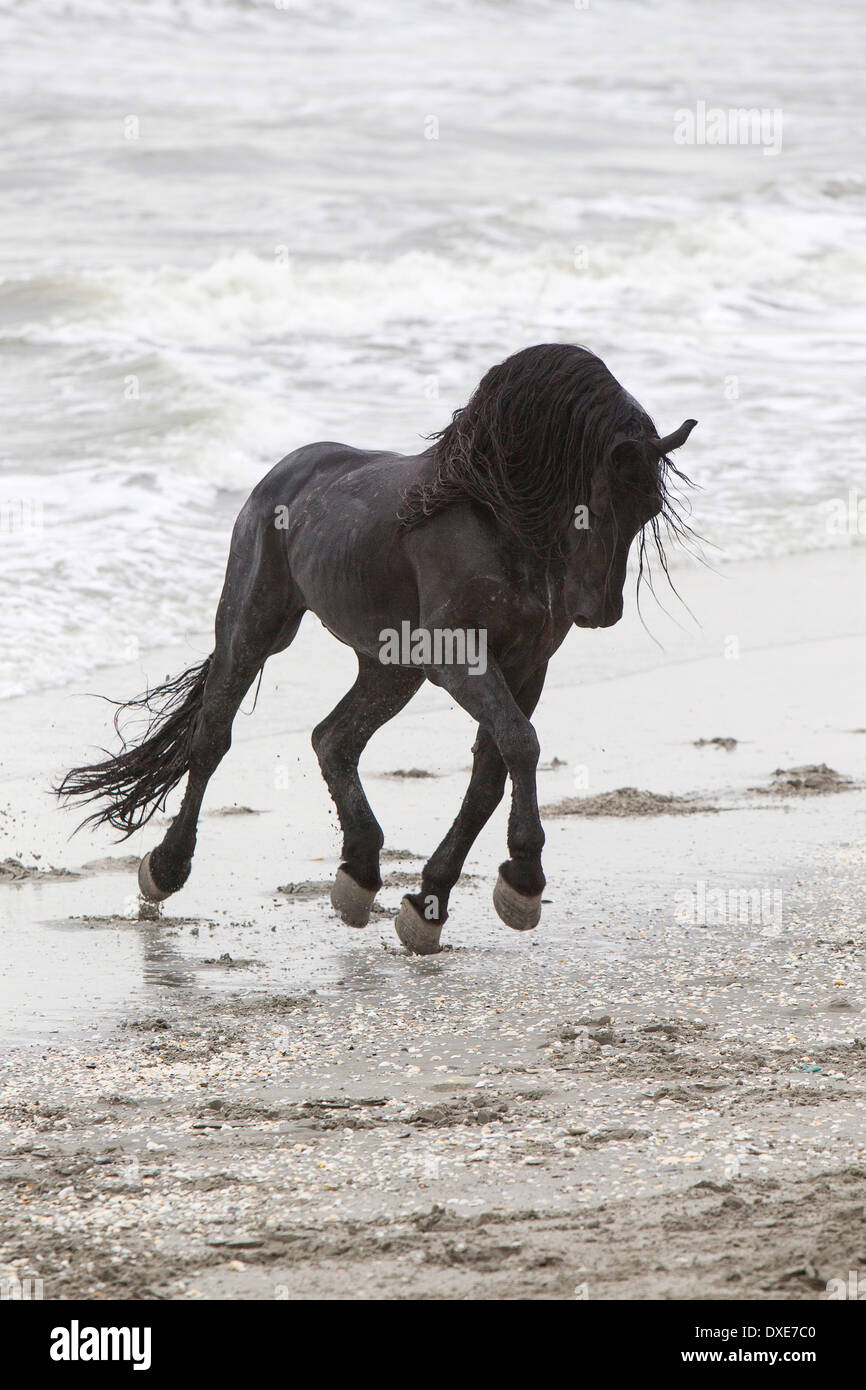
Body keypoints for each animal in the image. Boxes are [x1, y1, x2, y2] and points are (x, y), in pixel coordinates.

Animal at [59, 347, 697, 956]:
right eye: (601, 501)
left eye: (647, 511)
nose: (598, 611)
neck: (495, 518)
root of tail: (284, 474)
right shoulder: (456, 658)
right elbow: (520, 744)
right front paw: (522, 881)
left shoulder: (525, 667)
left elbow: (491, 773)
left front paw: (431, 906)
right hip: (254, 628)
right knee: (213, 737)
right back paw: (165, 870)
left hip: (391, 668)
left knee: (334, 739)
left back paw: (360, 876)